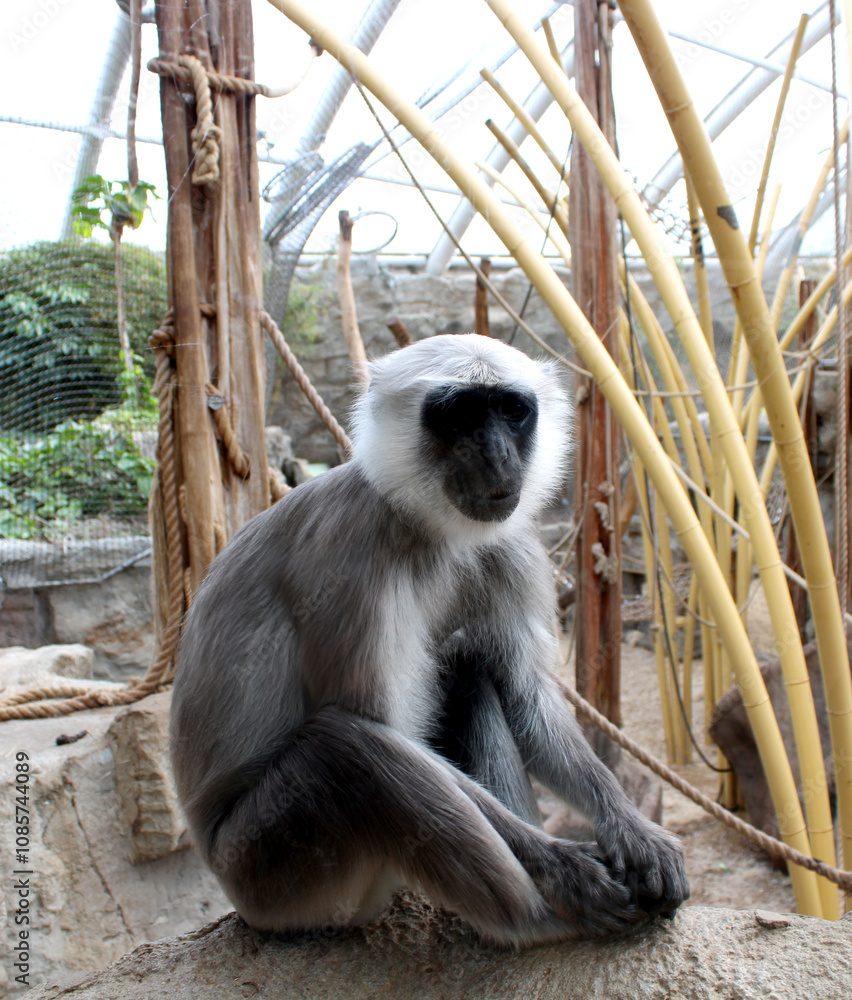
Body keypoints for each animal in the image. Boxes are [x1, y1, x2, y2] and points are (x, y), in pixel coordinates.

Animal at [170, 333, 688, 946]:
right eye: (460, 414)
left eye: (511, 411)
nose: (497, 456)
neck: (425, 525)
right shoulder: (350, 551)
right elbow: (384, 727)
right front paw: (565, 868)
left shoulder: (508, 542)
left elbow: (526, 695)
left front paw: (632, 829)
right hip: (270, 872)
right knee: (351, 749)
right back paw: (542, 922)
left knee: (465, 669)